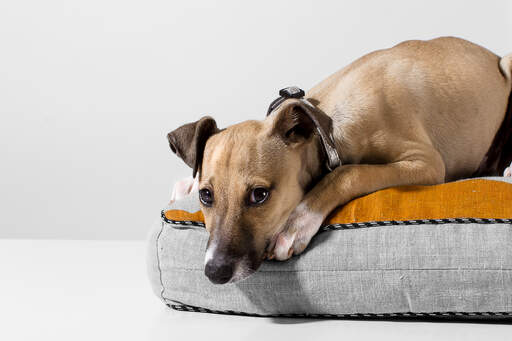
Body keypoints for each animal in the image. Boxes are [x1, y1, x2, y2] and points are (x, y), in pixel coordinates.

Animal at [168, 35, 512, 282]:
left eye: (259, 195)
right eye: (206, 196)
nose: (215, 272)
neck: (326, 127)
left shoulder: (425, 163)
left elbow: (348, 173)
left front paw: (296, 224)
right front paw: (185, 184)